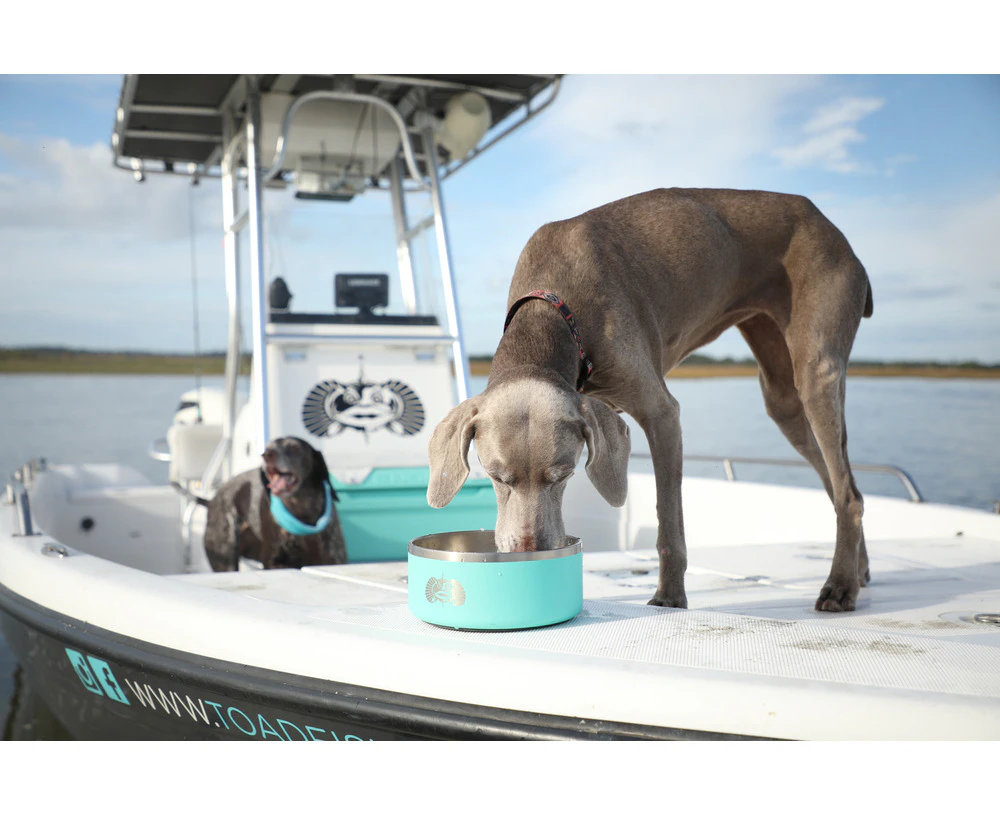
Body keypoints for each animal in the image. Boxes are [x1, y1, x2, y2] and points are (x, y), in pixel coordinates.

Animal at [178, 436, 350, 572]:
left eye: (294, 447)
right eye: (268, 447)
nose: (267, 455)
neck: (300, 512)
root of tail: (211, 501)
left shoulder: (333, 559)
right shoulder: (273, 562)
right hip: (225, 561)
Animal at [430, 190, 876, 612]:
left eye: (564, 475)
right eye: (495, 477)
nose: (530, 553)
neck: (552, 311)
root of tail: (828, 224)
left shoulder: (663, 415)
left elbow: (668, 523)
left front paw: (669, 598)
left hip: (817, 367)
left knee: (847, 493)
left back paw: (839, 586)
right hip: (782, 394)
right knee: (841, 484)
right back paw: (859, 570)